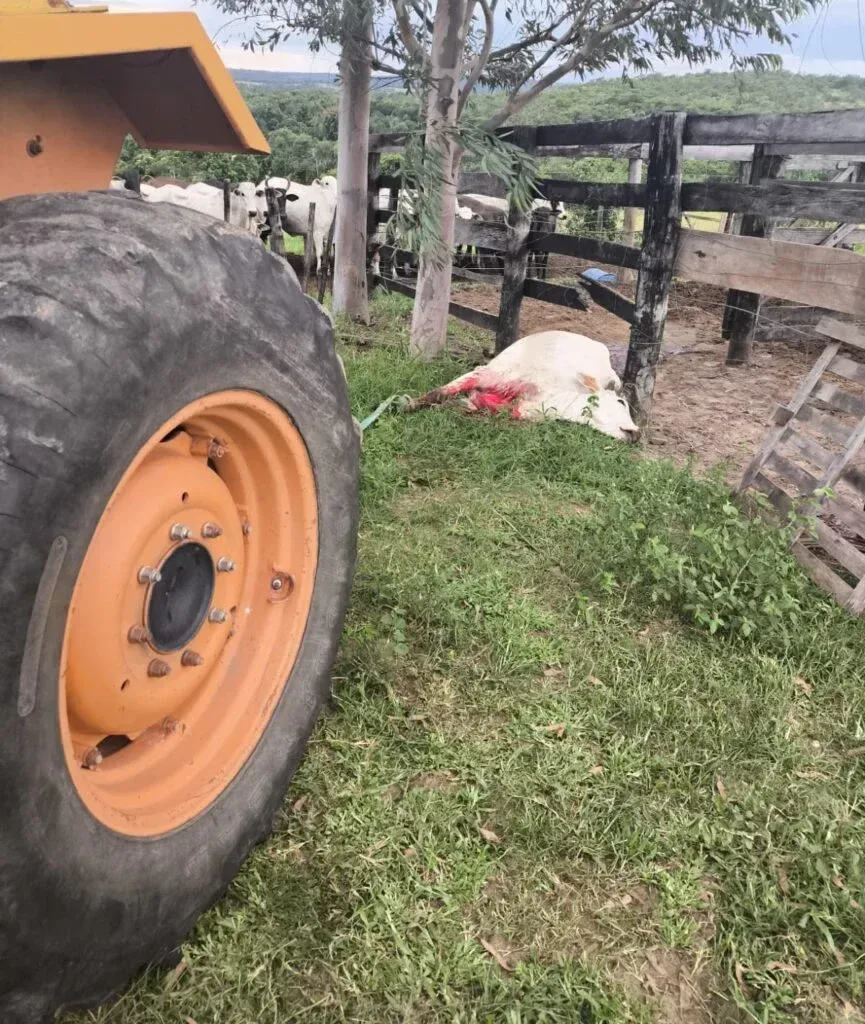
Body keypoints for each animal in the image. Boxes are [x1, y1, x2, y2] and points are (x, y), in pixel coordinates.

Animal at [407, 327, 638, 440]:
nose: (636, 433)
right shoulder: (488, 374)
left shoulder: (513, 408)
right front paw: (409, 404)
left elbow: (464, 405)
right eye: (621, 403)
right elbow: (440, 392)